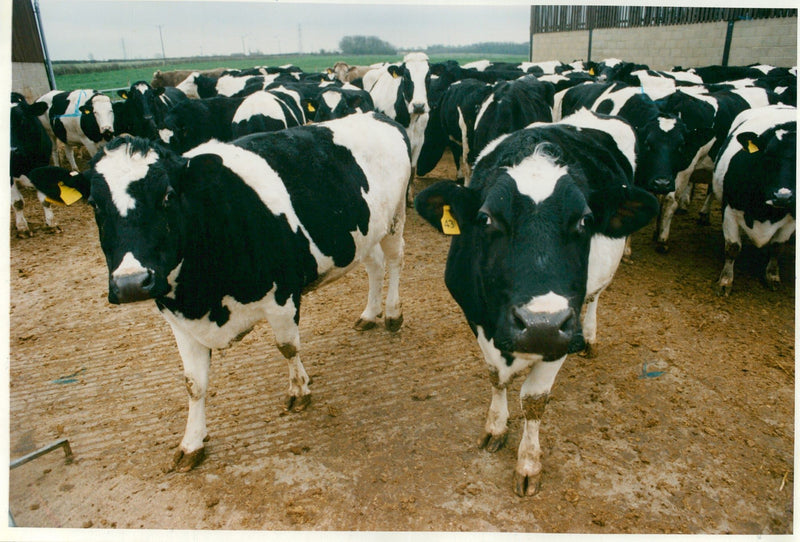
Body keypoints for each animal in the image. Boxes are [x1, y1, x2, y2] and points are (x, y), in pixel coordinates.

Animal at [36, 112, 412, 474]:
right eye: (94, 205)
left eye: (168, 195)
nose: (130, 282)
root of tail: (377, 115)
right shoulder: (178, 318)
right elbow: (193, 383)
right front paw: (191, 443)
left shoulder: (282, 296)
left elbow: (288, 347)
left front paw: (299, 390)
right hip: (364, 231)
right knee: (374, 264)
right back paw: (369, 314)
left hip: (395, 217)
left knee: (394, 259)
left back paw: (392, 314)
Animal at [412, 109, 656, 498]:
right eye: (486, 218)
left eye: (585, 220)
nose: (540, 324)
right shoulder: (474, 314)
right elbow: (495, 375)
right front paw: (495, 427)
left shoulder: (561, 333)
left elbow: (534, 400)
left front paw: (528, 463)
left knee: (595, 297)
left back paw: (592, 336)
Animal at [712, 105, 792, 298]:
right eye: (768, 155)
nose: (783, 196)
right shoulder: (730, 209)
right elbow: (732, 247)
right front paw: (725, 282)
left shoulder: (792, 221)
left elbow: (777, 247)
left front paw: (772, 276)